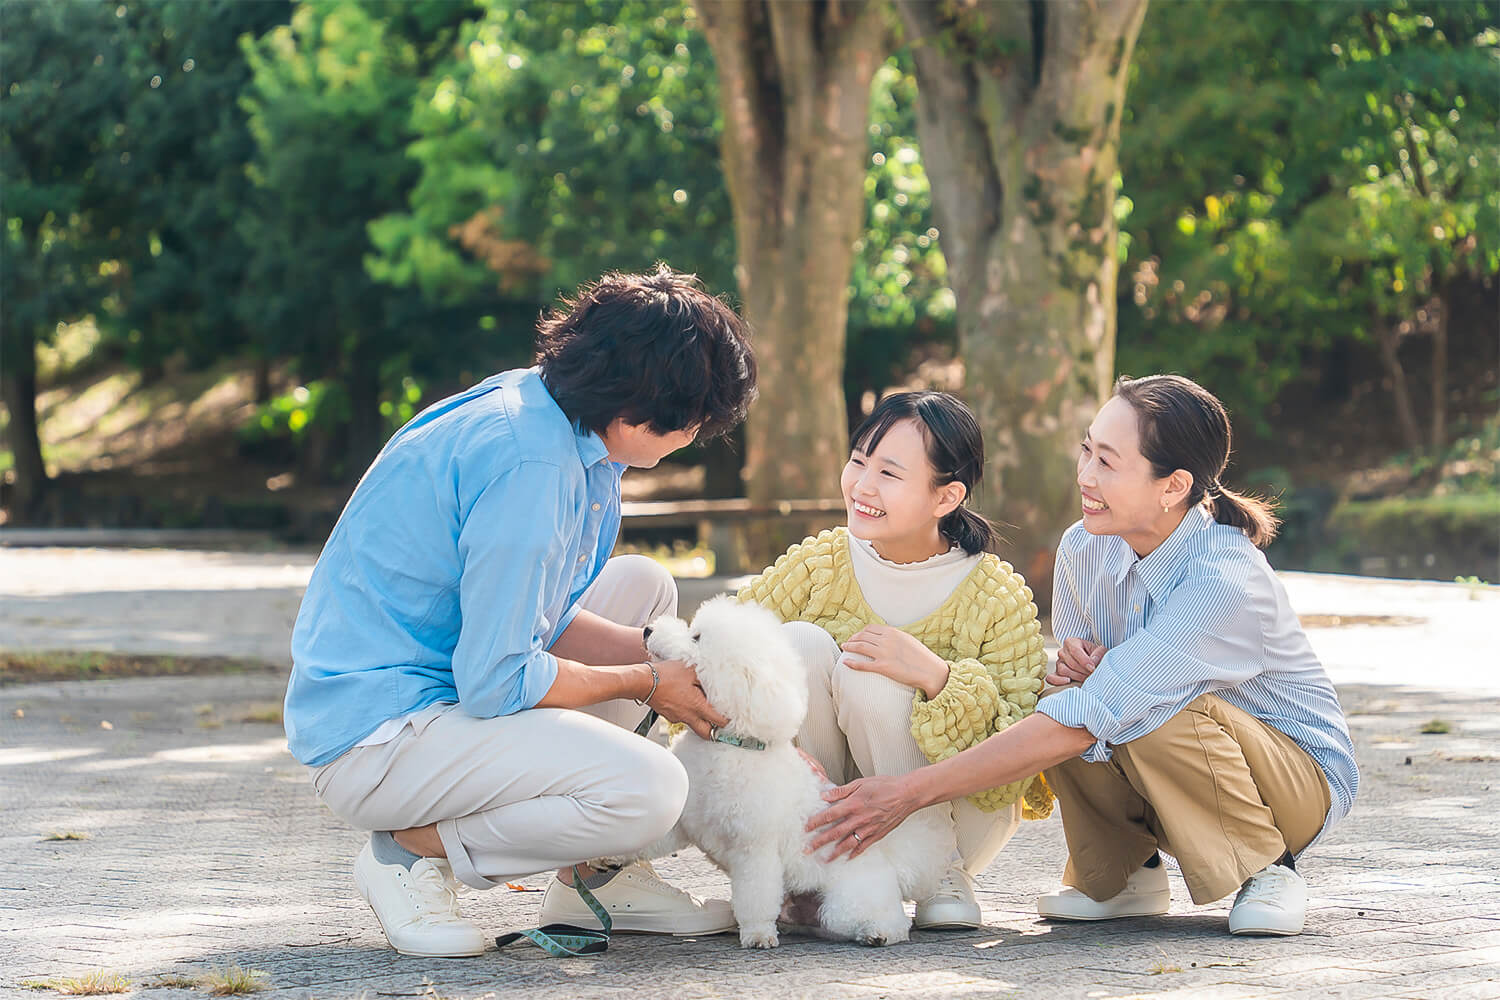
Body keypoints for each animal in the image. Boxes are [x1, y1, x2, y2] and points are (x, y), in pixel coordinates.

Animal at [636, 599, 942, 953]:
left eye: (697, 637)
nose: (647, 630)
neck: (728, 745)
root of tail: (892, 860)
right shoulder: (685, 819)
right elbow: (654, 834)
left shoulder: (755, 850)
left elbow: (756, 898)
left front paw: (757, 935)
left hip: (847, 903)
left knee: (891, 921)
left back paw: (878, 933)